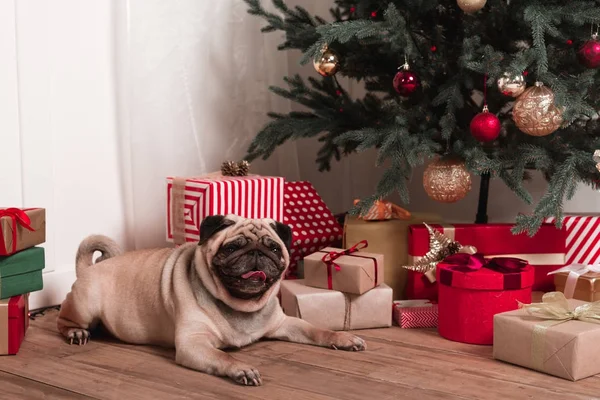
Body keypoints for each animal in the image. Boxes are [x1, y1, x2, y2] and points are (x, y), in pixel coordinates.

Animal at [57, 214, 366, 386]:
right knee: (63, 320)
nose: (257, 254)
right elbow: (222, 356)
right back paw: (76, 332)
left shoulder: (284, 323)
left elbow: (317, 329)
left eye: (274, 248)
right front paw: (241, 369)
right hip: (85, 305)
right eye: (231, 248)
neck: (240, 305)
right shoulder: (193, 343)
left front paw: (343, 338)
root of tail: (89, 268)